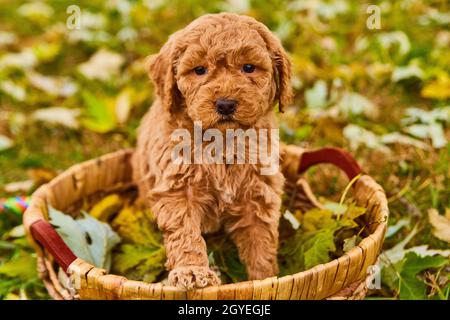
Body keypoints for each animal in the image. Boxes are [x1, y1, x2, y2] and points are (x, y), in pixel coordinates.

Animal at [133, 12, 292, 288]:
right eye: (199, 70)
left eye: (248, 68)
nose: (225, 104)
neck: (222, 140)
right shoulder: (177, 189)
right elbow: (186, 233)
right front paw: (192, 271)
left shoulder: (258, 193)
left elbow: (261, 243)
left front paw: (265, 279)